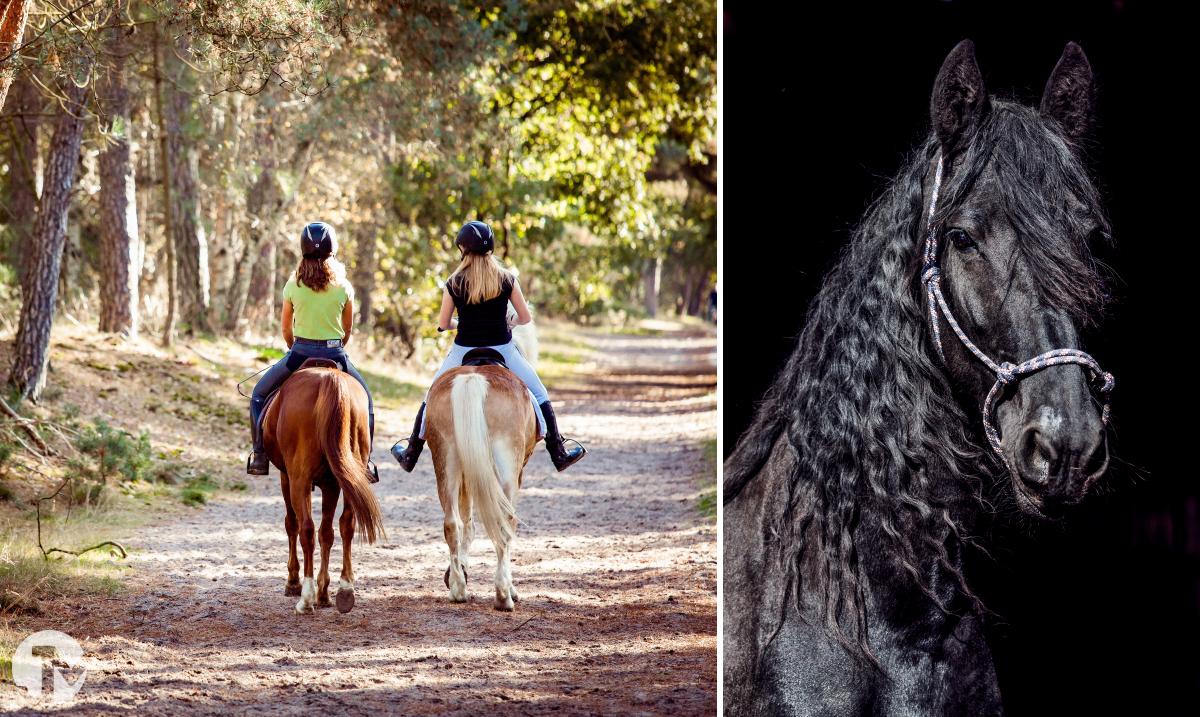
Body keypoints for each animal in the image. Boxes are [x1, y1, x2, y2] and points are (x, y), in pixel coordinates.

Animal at [262, 362, 384, 613]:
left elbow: (292, 524)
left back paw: (306, 599)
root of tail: (330, 379)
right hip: (350, 472)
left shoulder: (287, 477)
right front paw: (324, 593)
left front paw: (294, 583)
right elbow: (327, 533)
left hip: (299, 479)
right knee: (346, 524)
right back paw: (344, 591)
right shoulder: (331, 483)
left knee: (306, 528)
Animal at [427, 326, 540, 611]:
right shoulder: (517, 471)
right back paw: (503, 595)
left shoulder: (468, 474)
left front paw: (460, 571)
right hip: (507, 464)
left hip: (446, 458)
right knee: (506, 521)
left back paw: (458, 589)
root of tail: (473, 379)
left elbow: (468, 524)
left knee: (452, 523)